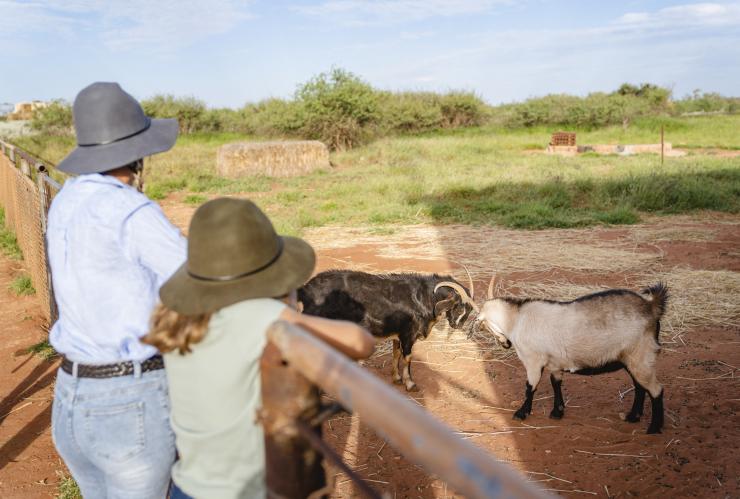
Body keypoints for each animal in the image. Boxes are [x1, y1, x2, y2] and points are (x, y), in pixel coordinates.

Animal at [298, 270, 476, 390]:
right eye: (459, 306)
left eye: (469, 310)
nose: (458, 325)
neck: (423, 298)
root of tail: (305, 289)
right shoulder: (408, 334)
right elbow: (407, 357)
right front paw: (410, 383)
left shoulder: (397, 335)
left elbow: (396, 354)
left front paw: (396, 378)